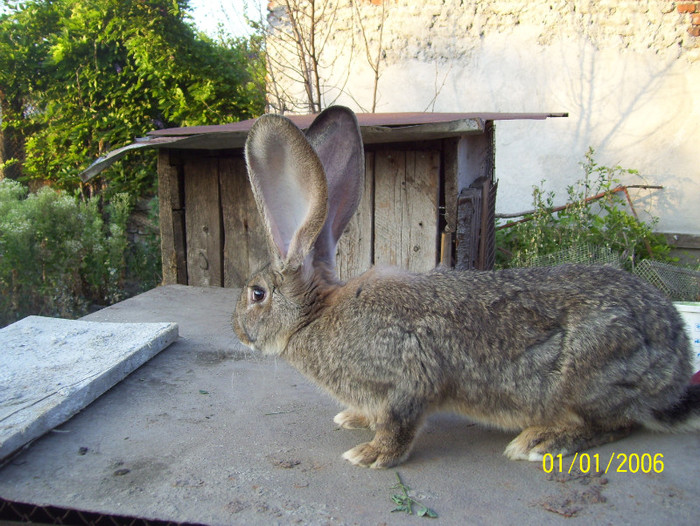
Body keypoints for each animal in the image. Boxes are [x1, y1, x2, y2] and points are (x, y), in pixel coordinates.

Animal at [235, 107, 700, 470]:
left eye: (257, 294)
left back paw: (541, 441)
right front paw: (353, 419)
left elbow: (399, 425)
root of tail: (678, 366)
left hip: (591, 376)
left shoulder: (406, 379)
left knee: (618, 422)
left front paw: (371, 454)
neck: (314, 315)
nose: (237, 331)